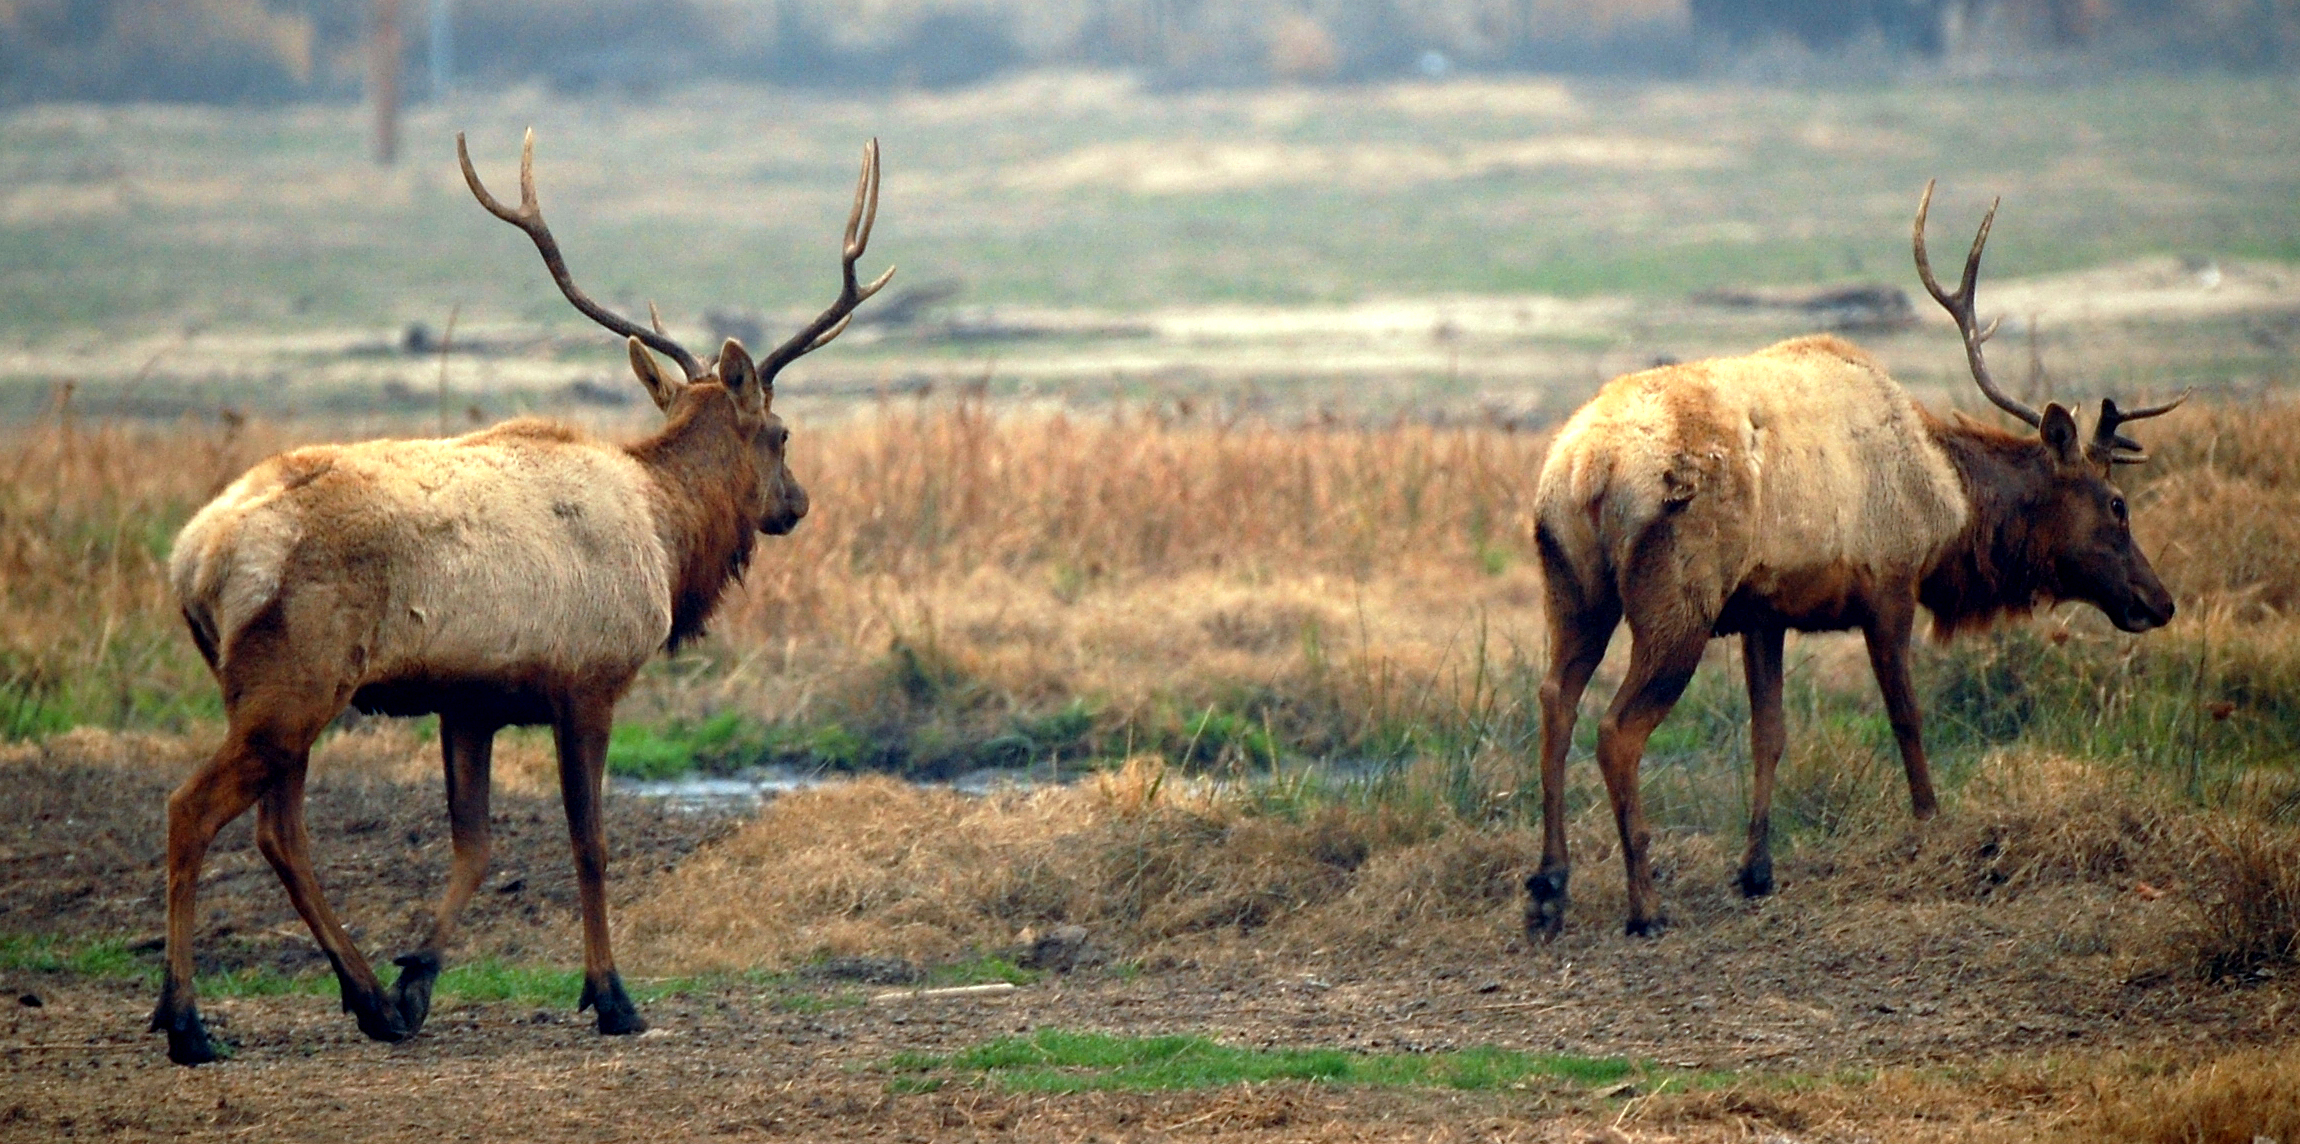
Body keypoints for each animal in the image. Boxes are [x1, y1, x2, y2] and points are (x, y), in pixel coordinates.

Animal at [150, 130, 892, 1065]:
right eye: (783, 432)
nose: (797, 503)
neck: (665, 533)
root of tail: (193, 558)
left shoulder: (470, 701)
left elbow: (474, 847)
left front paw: (417, 979)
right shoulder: (589, 681)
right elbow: (590, 842)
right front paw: (612, 997)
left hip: (281, 694)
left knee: (280, 833)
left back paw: (367, 998)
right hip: (293, 682)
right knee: (192, 810)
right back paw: (186, 1021)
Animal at [1524, 183, 2185, 939]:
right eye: (2116, 504)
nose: (2159, 600)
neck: (1952, 507)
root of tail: (1585, 466)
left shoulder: (1763, 613)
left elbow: (1770, 734)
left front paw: (1757, 869)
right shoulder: (1889, 585)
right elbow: (1907, 716)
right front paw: (1930, 822)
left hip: (1571, 584)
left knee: (1555, 700)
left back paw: (1548, 888)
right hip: (1675, 602)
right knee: (1616, 730)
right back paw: (1643, 904)